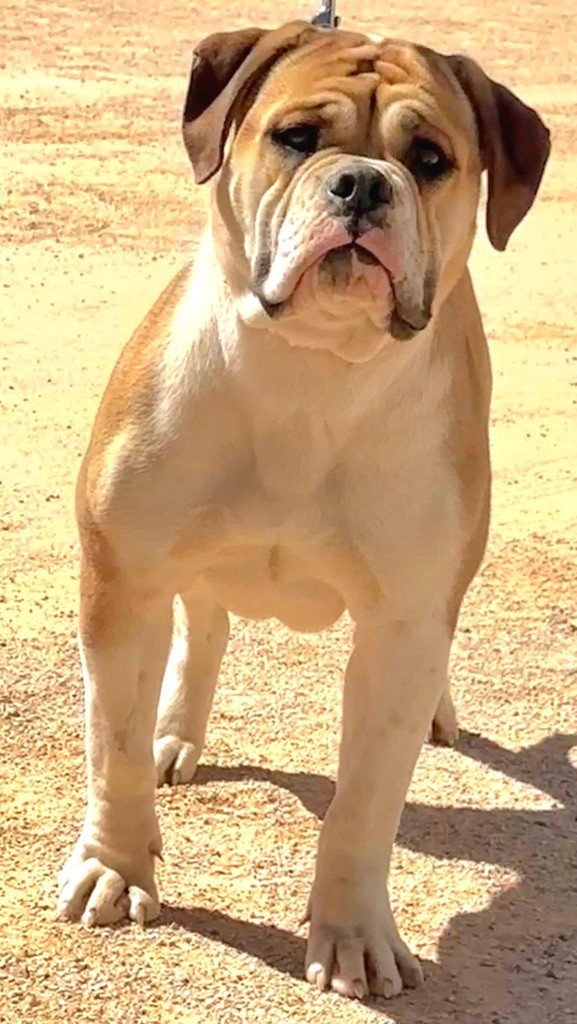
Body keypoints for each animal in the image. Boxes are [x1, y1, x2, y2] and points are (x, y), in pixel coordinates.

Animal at [57, 22, 549, 999]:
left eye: (429, 159)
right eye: (295, 137)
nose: (359, 183)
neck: (311, 374)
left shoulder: (400, 630)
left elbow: (362, 808)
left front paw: (353, 935)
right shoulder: (124, 584)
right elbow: (112, 747)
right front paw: (117, 869)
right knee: (204, 626)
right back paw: (177, 732)